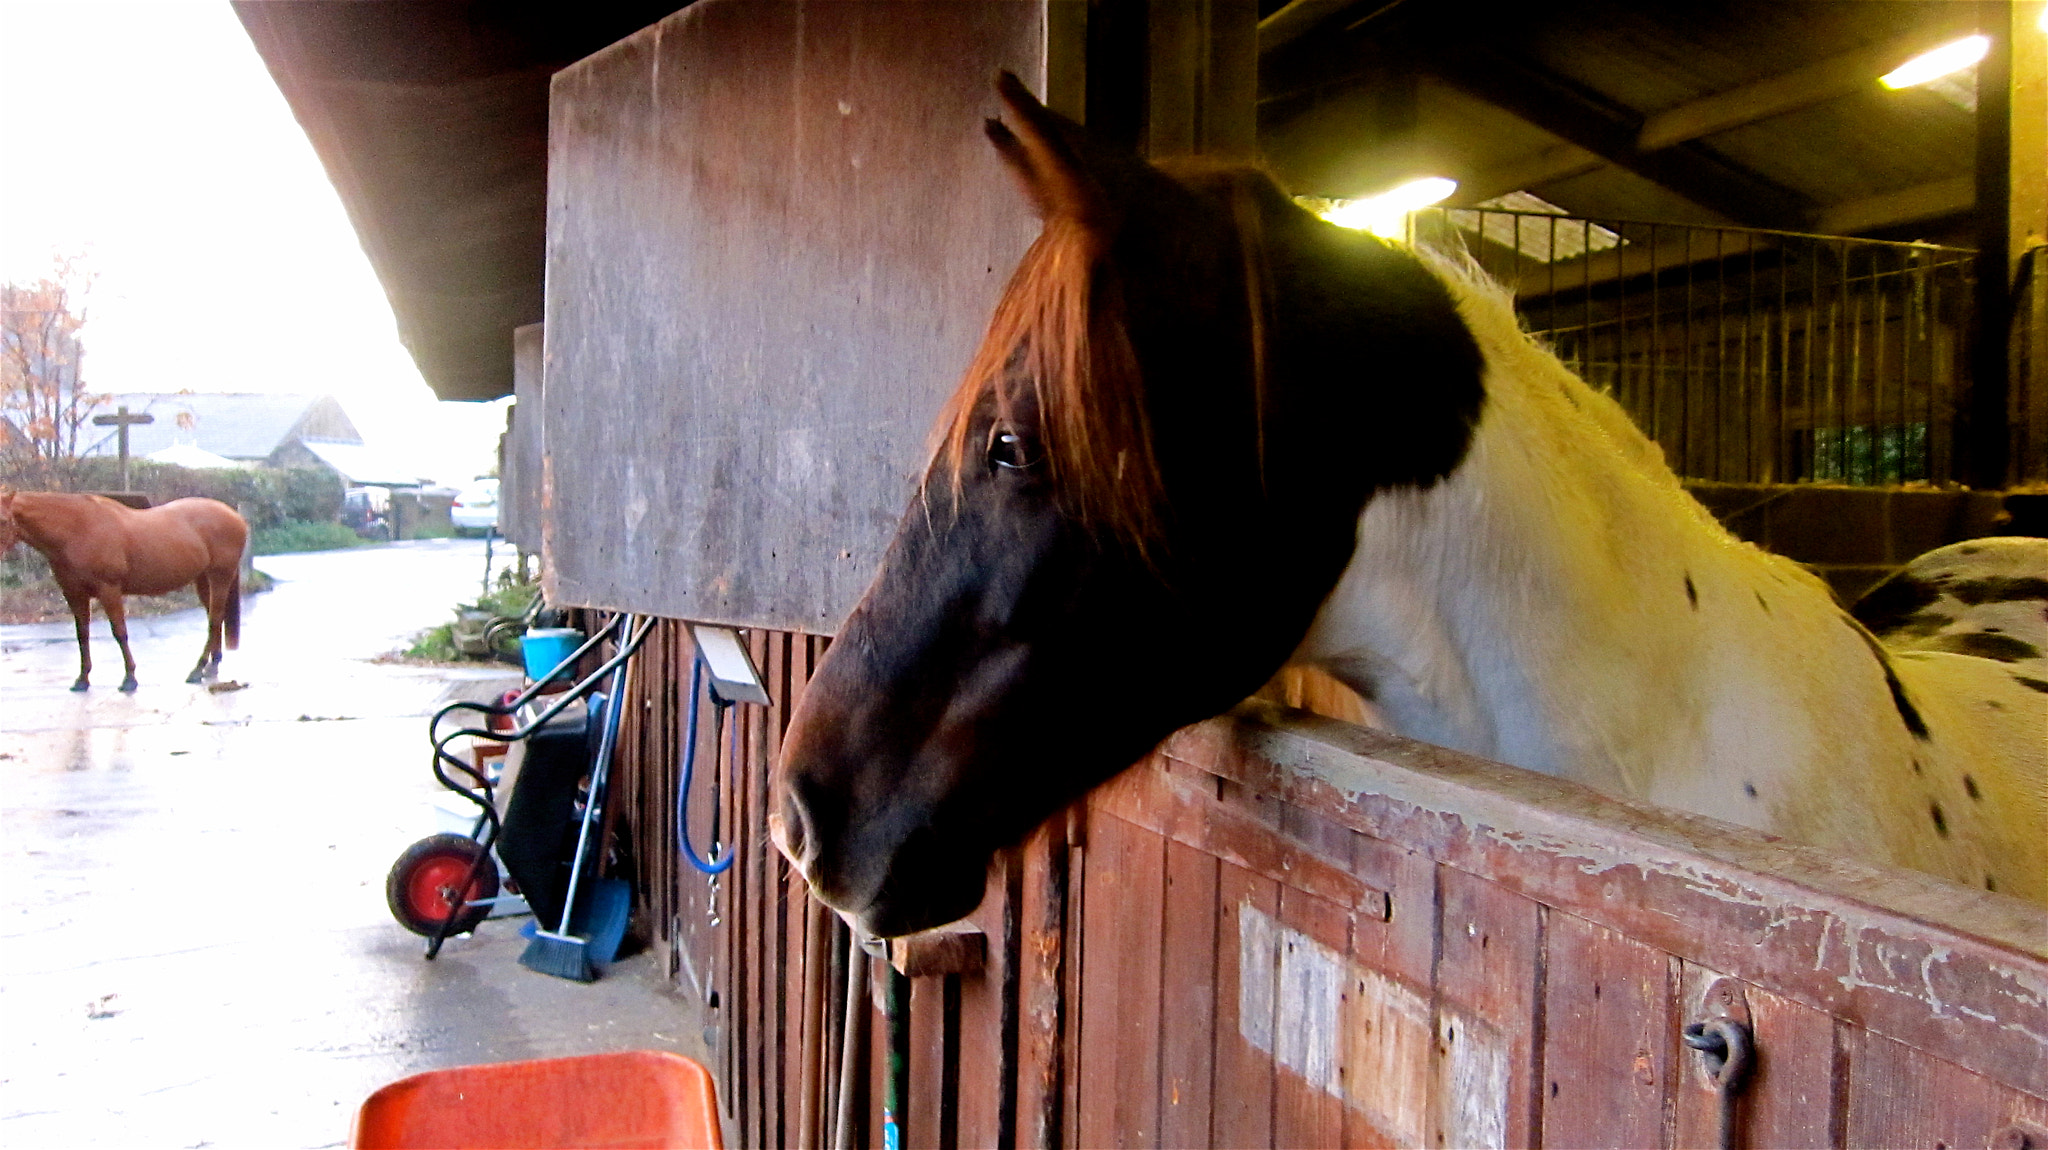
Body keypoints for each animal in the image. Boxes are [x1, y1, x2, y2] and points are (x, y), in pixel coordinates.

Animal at [1, 484, 248, 687]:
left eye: (3, 520)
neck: (77, 529)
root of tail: (236, 517)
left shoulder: (109, 590)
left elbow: (119, 632)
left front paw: (129, 678)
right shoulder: (74, 594)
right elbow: (82, 634)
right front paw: (83, 680)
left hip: (220, 576)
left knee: (215, 618)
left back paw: (198, 670)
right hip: (203, 579)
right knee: (214, 618)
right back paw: (210, 666)